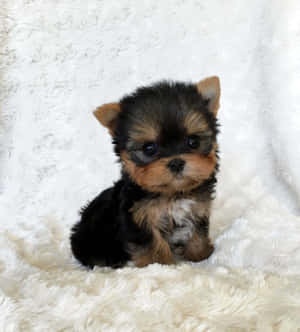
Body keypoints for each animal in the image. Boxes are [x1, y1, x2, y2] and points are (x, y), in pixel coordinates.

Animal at [70, 75, 220, 268]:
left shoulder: (198, 207)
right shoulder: (138, 219)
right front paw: (159, 265)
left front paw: (200, 255)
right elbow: (153, 244)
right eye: (149, 148)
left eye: (193, 141)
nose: (176, 162)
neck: (173, 193)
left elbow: (197, 232)